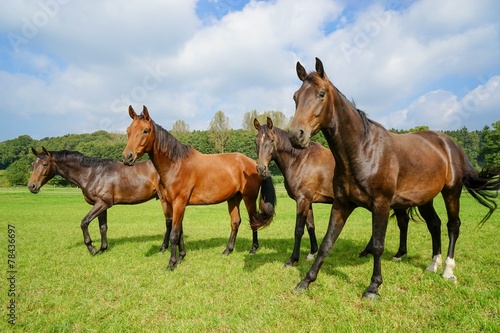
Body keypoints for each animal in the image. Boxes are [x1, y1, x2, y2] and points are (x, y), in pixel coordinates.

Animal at [27, 148, 172, 254]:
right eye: (33, 164)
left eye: (45, 164)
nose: (31, 186)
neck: (93, 174)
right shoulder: (102, 206)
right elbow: (103, 227)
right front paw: (102, 249)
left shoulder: (103, 203)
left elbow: (84, 222)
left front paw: (91, 248)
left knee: (169, 223)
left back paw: (163, 248)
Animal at [122, 105, 278, 268]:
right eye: (128, 130)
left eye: (145, 130)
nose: (127, 157)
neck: (175, 165)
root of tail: (254, 164)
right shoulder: (172, 204)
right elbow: (179, 232)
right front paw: (181, 257)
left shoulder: (179, 203)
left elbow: (174, 234)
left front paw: (172, 263)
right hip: (234, 198)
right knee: (235, 222)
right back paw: (227, 250)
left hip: (249, 198)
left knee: (253, 220)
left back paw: (253, 249)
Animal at [254, 115, 414, 266]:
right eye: (256, 142)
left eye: (272, 140)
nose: (261, 169)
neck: (300, 160)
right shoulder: (308, 201)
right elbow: (310, 226)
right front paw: (312, 253)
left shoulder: (302, 200)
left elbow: (299, 230)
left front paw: (293, 259)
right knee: (400, 223)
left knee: (401, 223)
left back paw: (396, 254)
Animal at [288, 57, 500, 298]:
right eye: (295, 96)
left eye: (321, 94)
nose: (296, 135)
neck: (363, 150)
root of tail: (451, 144)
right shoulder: (342, 204)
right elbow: (327, 242)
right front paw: (305, 281)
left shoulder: (381, 204)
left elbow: (378, 245)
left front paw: (373, 287)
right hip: (425, 198)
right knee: (434, 224)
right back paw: (433, 264)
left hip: (452, 192)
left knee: (453, 225)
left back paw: (447, 270)